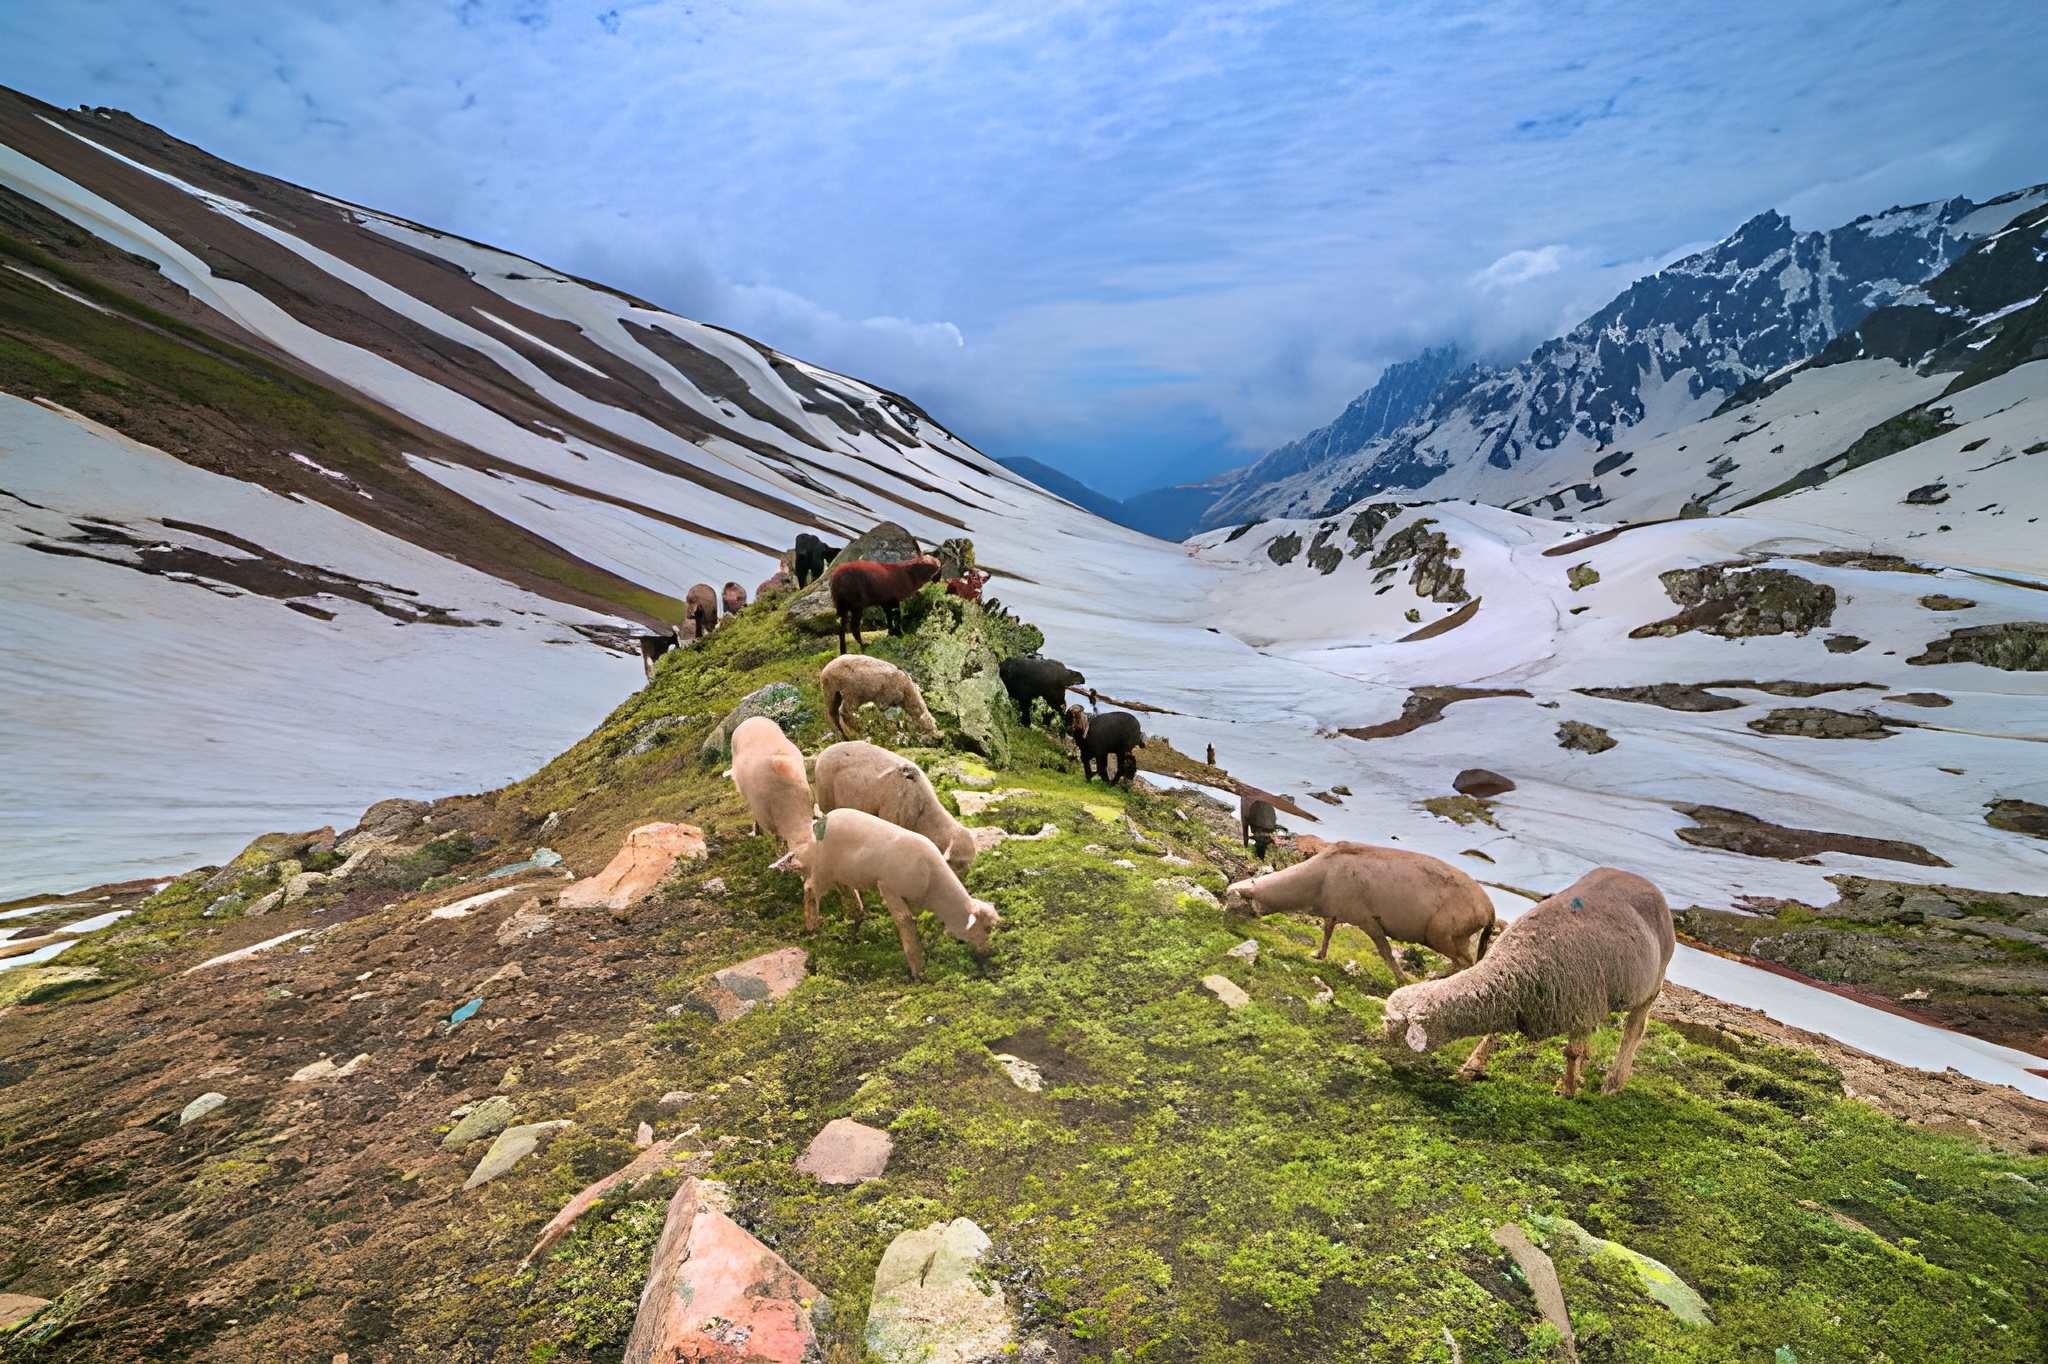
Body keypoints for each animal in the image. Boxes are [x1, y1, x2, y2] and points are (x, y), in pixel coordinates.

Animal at [771, 807, 999, 980]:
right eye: (985, 928)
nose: (991, 953)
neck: (933, 886)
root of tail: (820, 822)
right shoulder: (889, 889)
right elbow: (905, 922)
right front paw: (918, 971)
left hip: (842, 873)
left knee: (849, 899)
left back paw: (854, 928)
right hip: (823, 869)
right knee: (810, 888)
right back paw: (811, 927)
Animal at [1224, 842, 1495, 980]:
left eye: (1235, 903)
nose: (1224, 922)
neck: (1317, 879)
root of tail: (1489, 908)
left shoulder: (1366, 918)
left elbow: (1385, 951)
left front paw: (1400, 979)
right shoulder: (1335, 909)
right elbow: (1327, 932)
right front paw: (1319, 955)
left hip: (1442, 932)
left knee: (1465, 963)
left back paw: (1437, 979)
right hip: (1459, 935)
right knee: (1468, 961)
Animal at [1381, 867, 1673, 1097]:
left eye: (1395, 1031)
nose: (1380, 1058)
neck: (1516, 963)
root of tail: (1645, 882)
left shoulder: (1579, 1004)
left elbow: (1571, 1051)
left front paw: (1567, 1090)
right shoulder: (1520, 1001)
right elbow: (1492, 1034)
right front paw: (1472, 1067)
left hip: (1651, 986)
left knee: (1634, 1030)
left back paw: (1614, 1082)